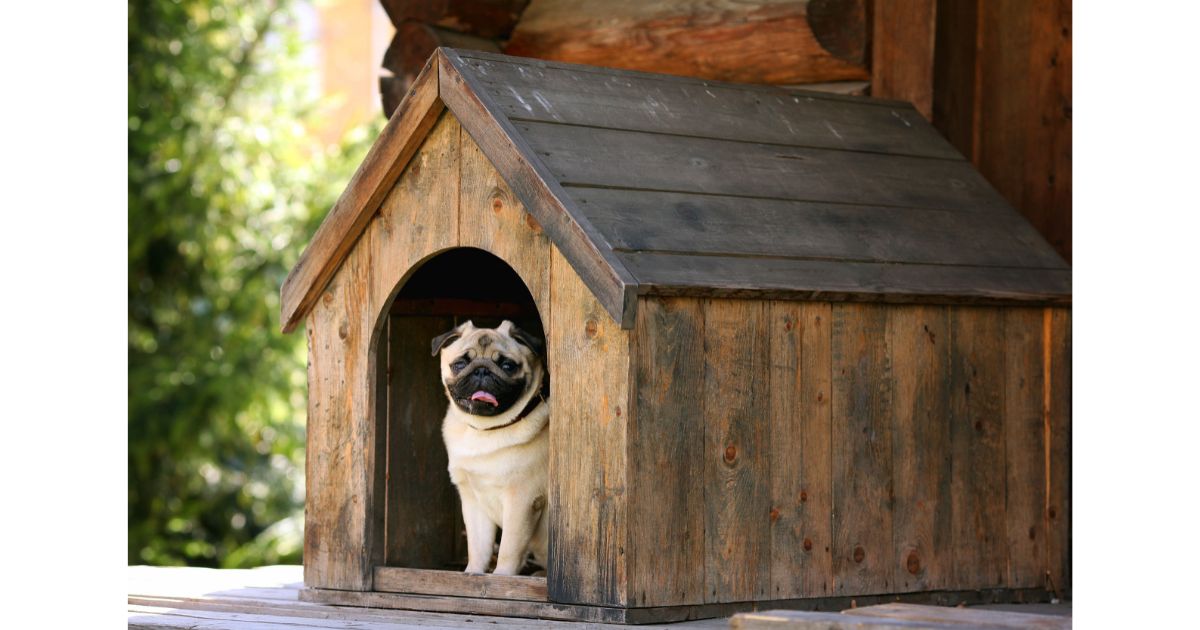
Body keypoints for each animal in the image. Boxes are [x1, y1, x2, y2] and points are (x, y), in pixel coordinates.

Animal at [434, 319, 549, 573]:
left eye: (507, 366)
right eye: (460, 364)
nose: (482, 370)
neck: (485, 430)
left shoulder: (521, 500)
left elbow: (509, 549)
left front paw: (502, 576)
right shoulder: (473, 501)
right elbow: (478, 548)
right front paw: (473, 574)